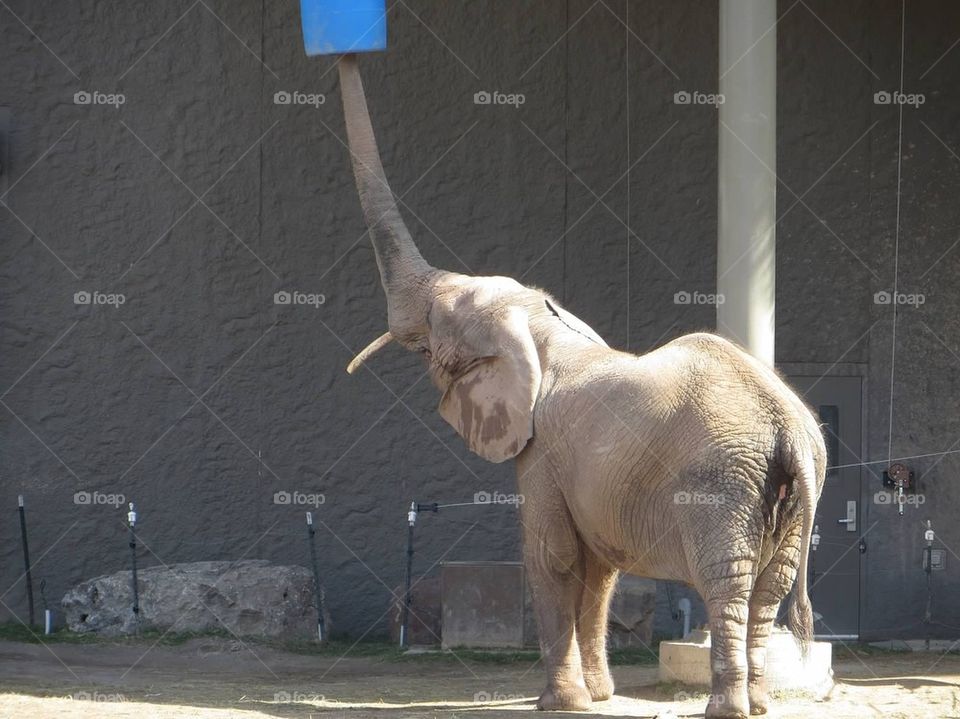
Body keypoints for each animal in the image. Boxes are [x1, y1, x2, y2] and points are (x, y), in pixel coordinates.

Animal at [333, 54, 826, 719]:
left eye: (439, 324)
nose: (346, 53)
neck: (544, 330)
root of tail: (786, 426)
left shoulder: (542, 451)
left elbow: (554, 558)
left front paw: (560, 704)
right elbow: (599, 570)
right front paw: (599, 697)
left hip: (721, 484)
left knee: (729, 584)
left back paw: (725, 708)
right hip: (792, 496)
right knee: (769, 589)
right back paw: (761, 704)